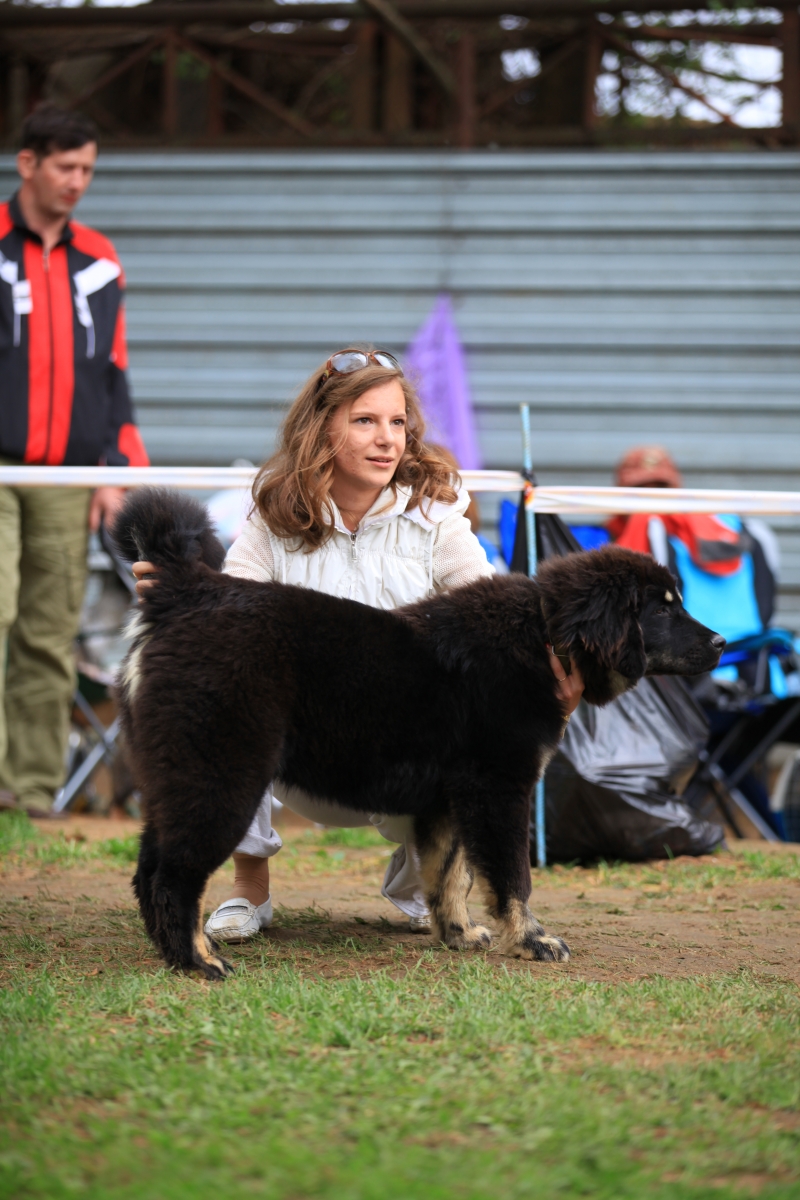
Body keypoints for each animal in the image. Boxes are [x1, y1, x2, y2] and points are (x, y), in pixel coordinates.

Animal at [113, 487, 724, 974]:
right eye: (662, 610)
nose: (720, 642)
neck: (544, 637)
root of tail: (188, 593)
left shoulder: (450, 798)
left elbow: (449, 875)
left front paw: (458, 934)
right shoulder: (498, 788)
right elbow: (511, 876)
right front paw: (531, 939)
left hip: (178, 776)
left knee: (148, 869)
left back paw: (173, 953)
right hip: (224, 773)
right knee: (175, 874)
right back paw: (198, 960)